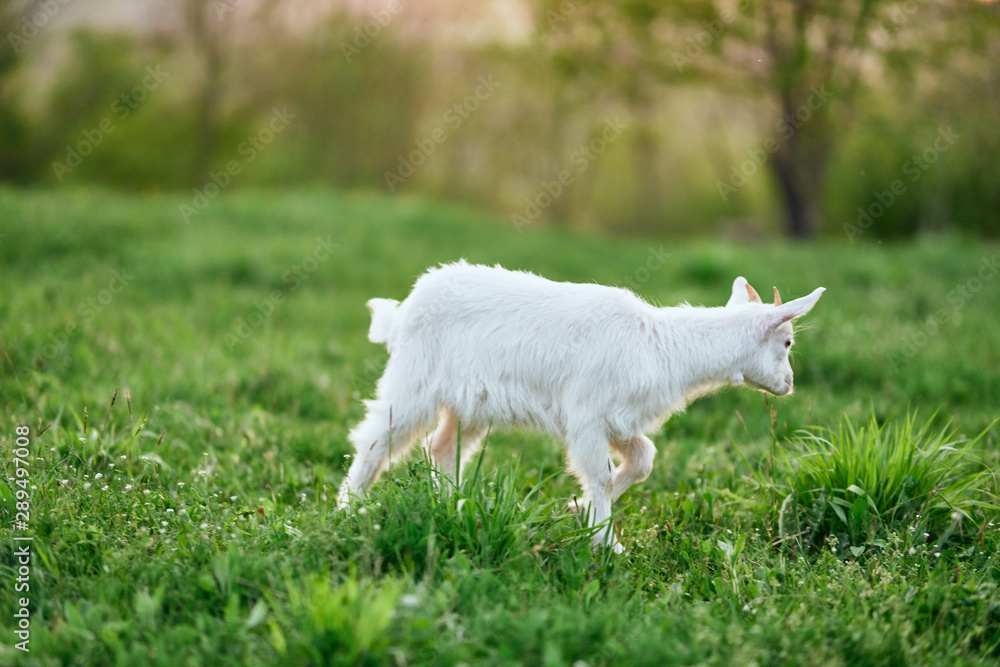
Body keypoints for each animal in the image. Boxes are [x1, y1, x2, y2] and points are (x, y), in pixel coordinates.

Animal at [337, 261, 825, 552]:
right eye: (787, 342)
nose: (789, 384)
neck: (660, 346)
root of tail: (403, 309)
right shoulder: (587, 419)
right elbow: (601, 475)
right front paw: (607, 543)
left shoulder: (619, 420)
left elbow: (644, 459)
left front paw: (578, 510)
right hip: (412, 381)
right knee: (374, 440)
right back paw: (348, 508)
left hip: (469, 402)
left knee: (440, 446)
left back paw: (452, 503)